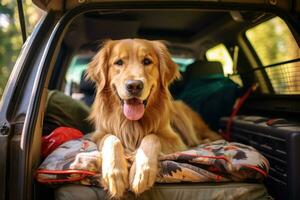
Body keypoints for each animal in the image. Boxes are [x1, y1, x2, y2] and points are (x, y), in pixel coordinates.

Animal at [85, 38, 221, 198]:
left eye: (147, 61)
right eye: (118, 62)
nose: (134, 86)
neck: (131, 123)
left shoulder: (175, 140)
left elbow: (151, 137)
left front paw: (141, 171)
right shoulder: (99, 134)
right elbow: (111, 138)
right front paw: (115, 173)